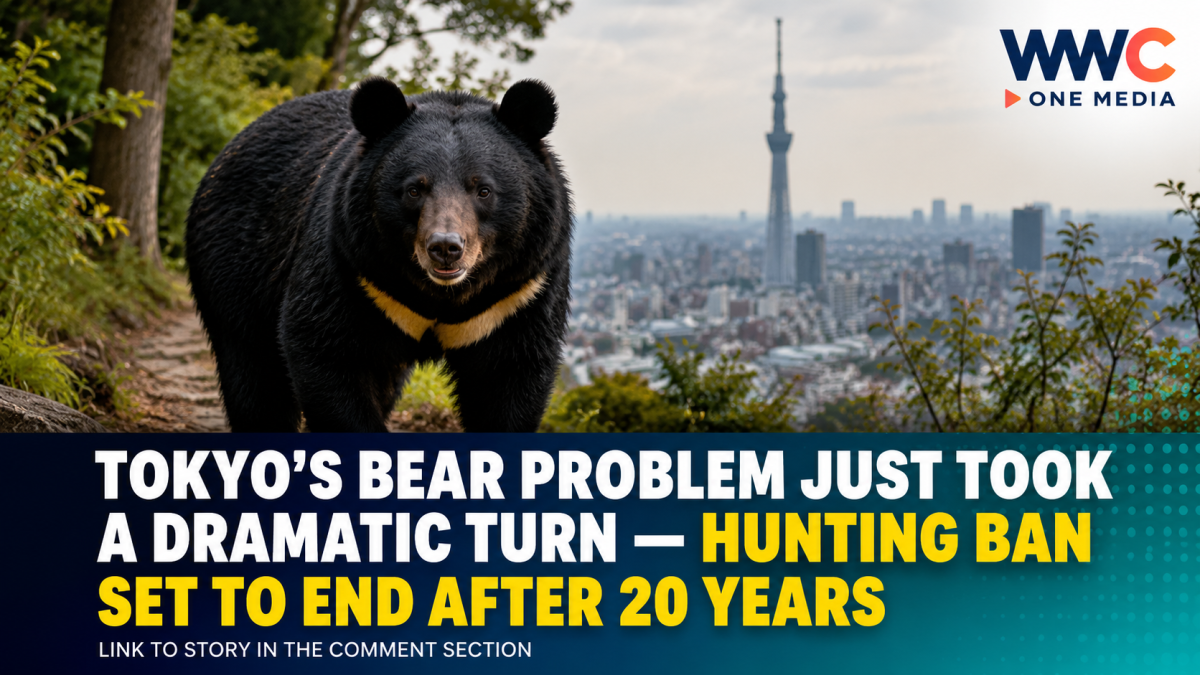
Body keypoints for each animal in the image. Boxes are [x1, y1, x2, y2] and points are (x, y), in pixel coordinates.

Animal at [185, 77, 573, 432]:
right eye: (415, 189)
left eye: (483, 190)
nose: (445, 248)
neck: (441, 295)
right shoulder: (353, 266)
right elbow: (326, 348)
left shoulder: (517, 293)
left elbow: (510, 378)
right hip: (235, 265)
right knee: (255, 374)